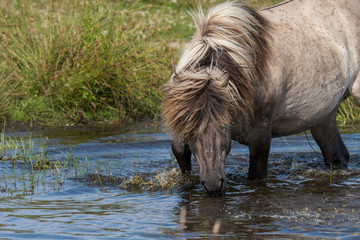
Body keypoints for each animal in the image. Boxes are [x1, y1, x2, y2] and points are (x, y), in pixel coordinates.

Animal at [161, 0, 360, 195]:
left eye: (224, 126)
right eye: (191, 131)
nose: (213, 184)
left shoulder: (260, 135)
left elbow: (256, 177)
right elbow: (179, 151)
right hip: (323, 115)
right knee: (336, 155)